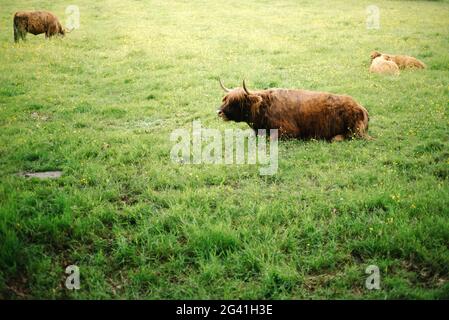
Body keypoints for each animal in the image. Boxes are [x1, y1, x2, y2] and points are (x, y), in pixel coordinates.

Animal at [218, 79, 372, 141]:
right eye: (225, 99)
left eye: (236, 102)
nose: (219, 112)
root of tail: (360, 107)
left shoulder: (288, 132)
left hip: (354, 130)